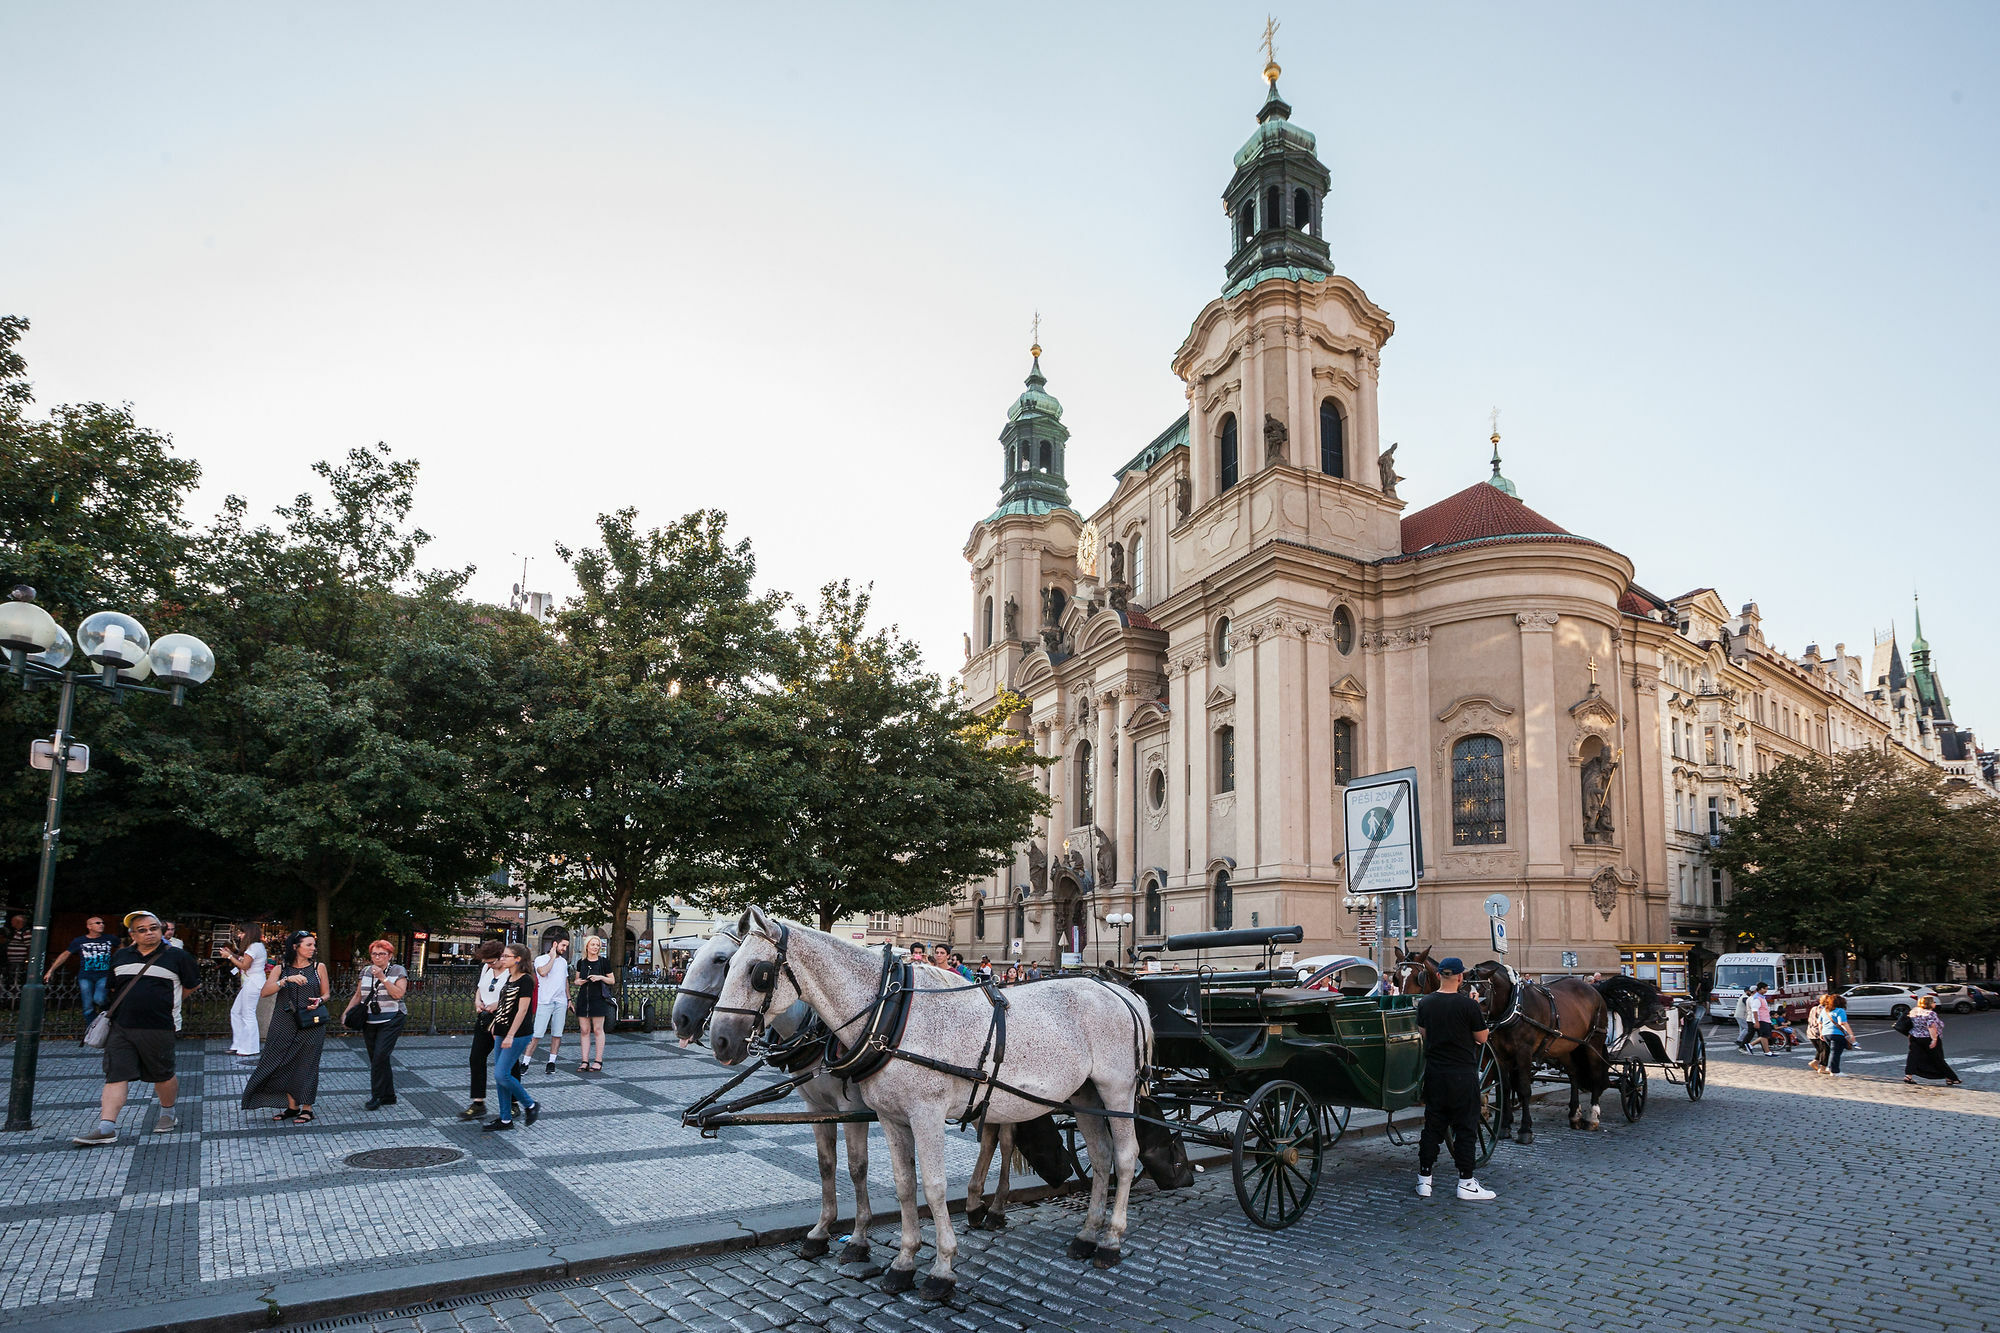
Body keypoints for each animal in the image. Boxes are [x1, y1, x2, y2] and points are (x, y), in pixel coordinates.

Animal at [708, 904, 1152, 1296]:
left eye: (758, 973)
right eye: (726, 966)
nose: (720, 1041)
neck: (891, 1015)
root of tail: (1118, 990)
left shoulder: (927, 1115)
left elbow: (934, 1188)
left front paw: (941, 1268)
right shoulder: (890, 1117)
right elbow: (905, 1185)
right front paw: (904, 1262)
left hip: (1116, 1090)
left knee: (1126, 1156)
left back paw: (1110, 1241)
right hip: (1084, 1094)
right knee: (1100, 1158)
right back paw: (1087, 1235)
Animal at [1464, 960, 1616, 1136]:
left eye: (1482, 994)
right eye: (1461, 991)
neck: (1515, 1007)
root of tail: (1592, 989)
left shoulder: (1523, 1052)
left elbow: (1524, 1089)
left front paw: (1525, 1129)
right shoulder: (1500, 1054)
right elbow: (1505, 1088)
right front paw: (1504, 1126)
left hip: (1594, 1041)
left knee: (1596, 1074)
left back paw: (1592, 1117)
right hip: (1564, 1046)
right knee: (1574, 1073)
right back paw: (1574, 1115)